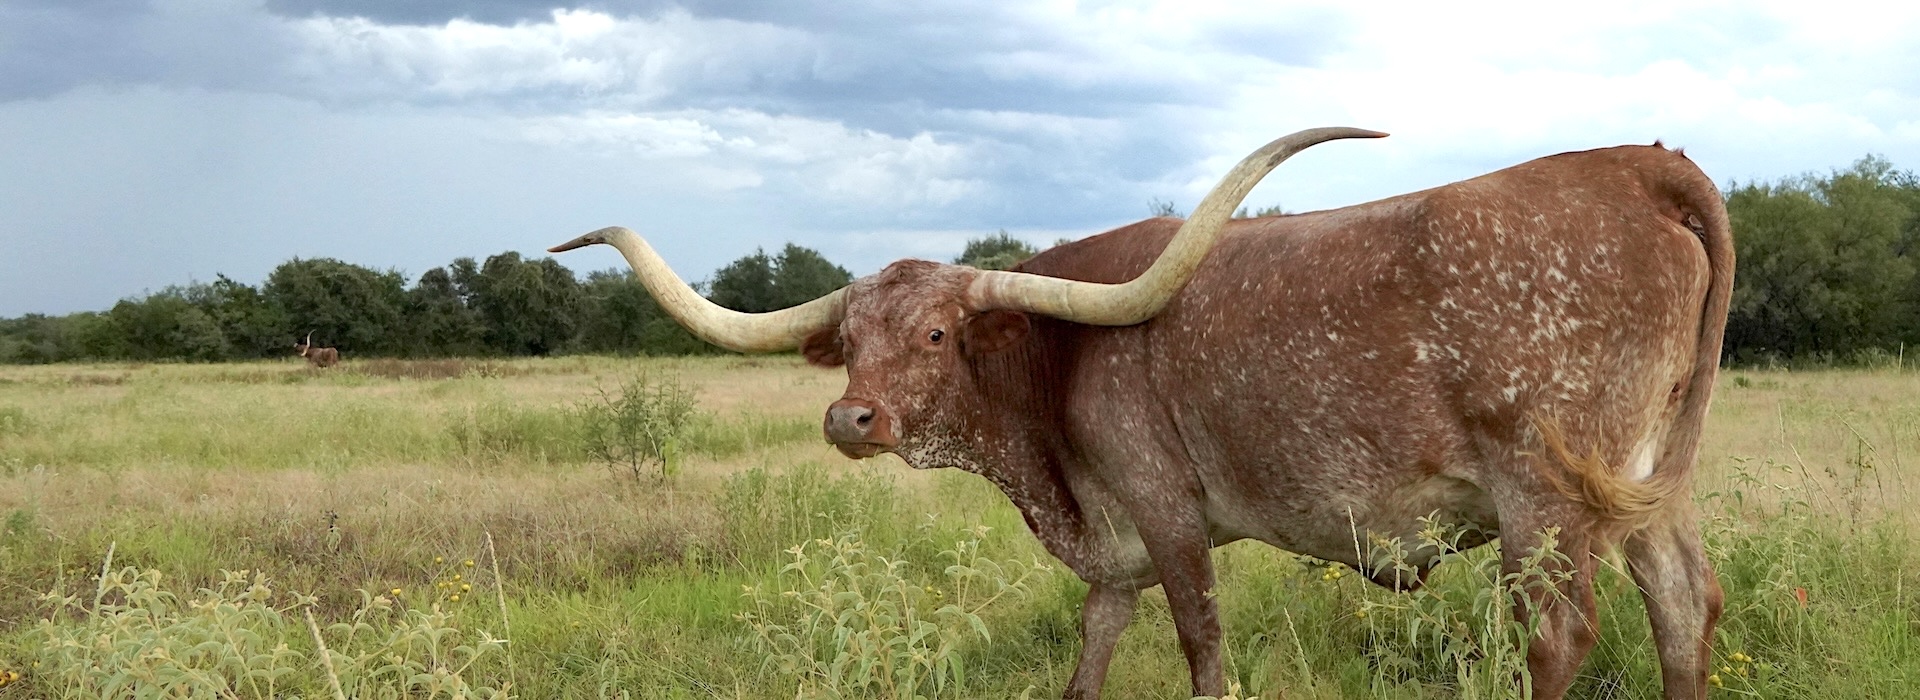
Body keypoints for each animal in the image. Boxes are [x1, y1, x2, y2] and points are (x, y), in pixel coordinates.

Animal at [549, 127, 1734, 700]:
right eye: (850, 342)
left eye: (935, 335)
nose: (852, 421)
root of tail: (1637, 168)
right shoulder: (1113, 547)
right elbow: (1091, 653)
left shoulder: (1167, 510)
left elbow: (1202, 644)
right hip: (1646, 485)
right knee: (1685, 607)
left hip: (1545, 498)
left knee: (1559, 635)